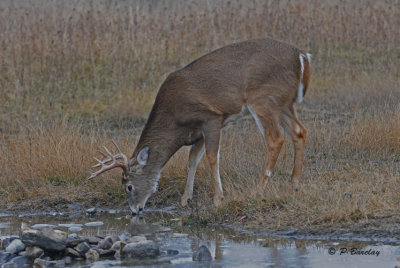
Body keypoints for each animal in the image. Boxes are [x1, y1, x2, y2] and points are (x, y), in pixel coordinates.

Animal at [89, 37, 310, 215]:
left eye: (128, 186)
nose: (135, 210)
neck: (175, 121)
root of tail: (301, 55)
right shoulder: (198, 132)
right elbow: (193, 159)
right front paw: (185, 199)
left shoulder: (211, 118)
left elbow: (212, 157)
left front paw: (218, 199)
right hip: (284, 103)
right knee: (299, 131)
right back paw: (294, 185)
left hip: (263, 99)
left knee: (276, 139)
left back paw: (258, 188)